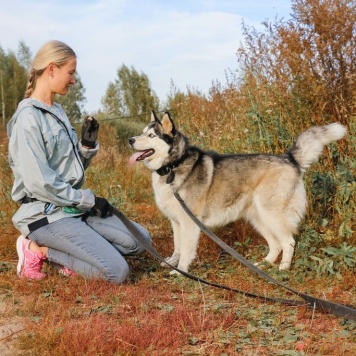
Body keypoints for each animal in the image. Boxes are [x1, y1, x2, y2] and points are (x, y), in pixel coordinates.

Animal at [129, 112, 348, 274]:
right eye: (142, 132)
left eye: (151, 136)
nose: (130, 139)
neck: (173, 166)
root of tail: (289, 159)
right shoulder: (176, 222)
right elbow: (177, 247)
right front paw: (171, 262)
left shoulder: (189, 223)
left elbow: (186, 251)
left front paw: (181, 271)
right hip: (259, 219)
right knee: (275, 244)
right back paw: (264, 264)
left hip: (271, 216)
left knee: (288, 242)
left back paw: (283, 268)